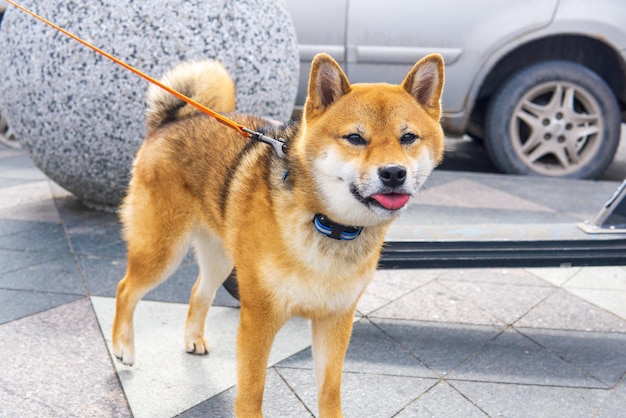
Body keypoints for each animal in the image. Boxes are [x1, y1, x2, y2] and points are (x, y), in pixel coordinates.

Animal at [113, 54, 444, 416]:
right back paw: (122, 347)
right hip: (162, 250)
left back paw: (193, 339)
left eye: (408, 137)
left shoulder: (335, 319)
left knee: (198, 292)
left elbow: (330, 390)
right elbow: (251, 391)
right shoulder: (259, 317)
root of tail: (172, 121)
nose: (394, 173)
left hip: (221, 260)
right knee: (125, 288)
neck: (327, 225)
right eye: (355, 138)